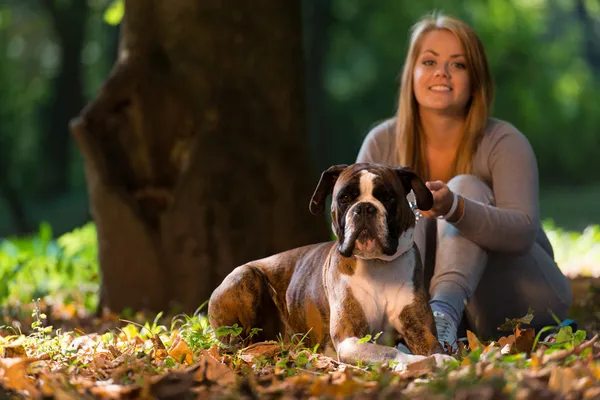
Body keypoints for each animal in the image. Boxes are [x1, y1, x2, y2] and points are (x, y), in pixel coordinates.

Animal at [209, 163, 452, 372]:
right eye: (344, 198)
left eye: (387, 197)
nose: (365, 208)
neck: (377, 264)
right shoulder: (350, 339)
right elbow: (389, 352)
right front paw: (417, 362)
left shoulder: (420, 330)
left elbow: (433, 347)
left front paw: (441, 358)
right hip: (245, 277)